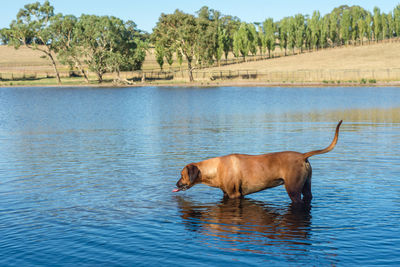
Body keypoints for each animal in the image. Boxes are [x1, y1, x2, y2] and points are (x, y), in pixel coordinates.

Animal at [173, 120, 342, 204]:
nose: (176, 184)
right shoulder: (227, 194)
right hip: (306, 186)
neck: (215, 168)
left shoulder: (235, 195)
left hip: (293, 190)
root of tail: (302, 156)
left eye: (181, 175)